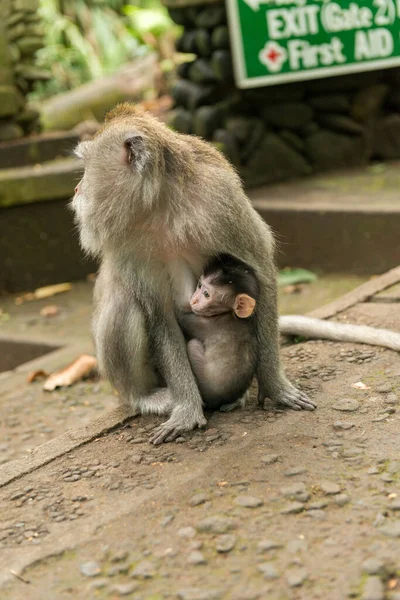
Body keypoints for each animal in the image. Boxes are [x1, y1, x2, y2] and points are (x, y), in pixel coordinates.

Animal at [179, 253, 260, 412]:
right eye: (199, 285)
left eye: (206, 294)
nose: (194, 300)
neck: (228, 313)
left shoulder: (207, 324)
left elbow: (181, 318)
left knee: (193, 344)